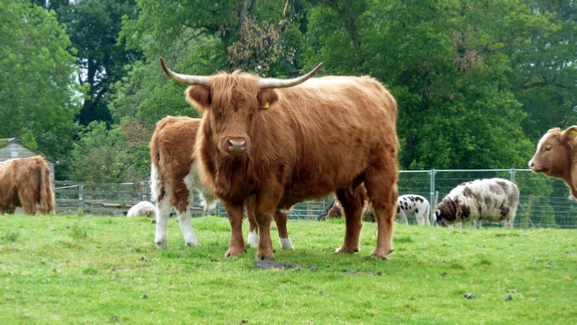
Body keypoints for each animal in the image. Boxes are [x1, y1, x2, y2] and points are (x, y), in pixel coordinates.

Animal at [148, 115, 292, 249]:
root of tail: (171, 120)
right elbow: (257, 215)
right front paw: (256, 242)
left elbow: (277, 216)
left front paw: (284, 244)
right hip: (182, 178)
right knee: (181, 206)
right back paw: (192, 241)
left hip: (166, 181)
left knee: (163, 206)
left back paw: (161, 242)